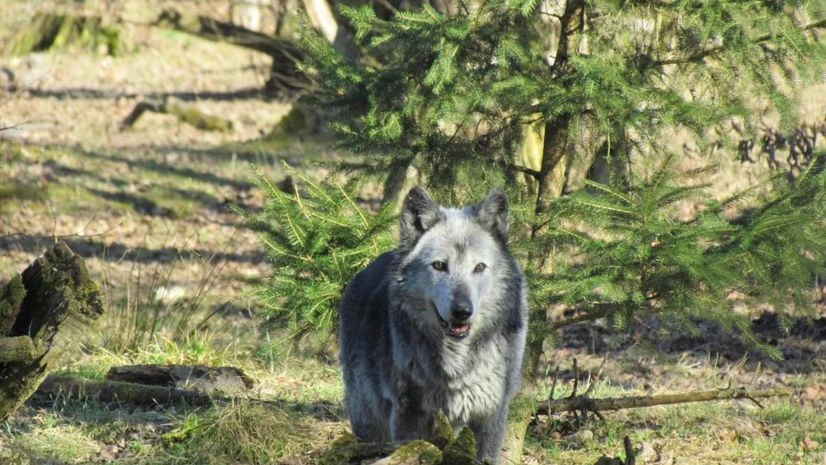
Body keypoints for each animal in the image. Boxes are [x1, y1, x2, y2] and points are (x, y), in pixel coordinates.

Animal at [339, 186, 529, 463]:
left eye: (479, 267)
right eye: (439, 265)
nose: (462, 311)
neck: (457, 363)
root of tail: (360, 274)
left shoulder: (490, 416)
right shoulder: (409, 417)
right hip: (368, 418)